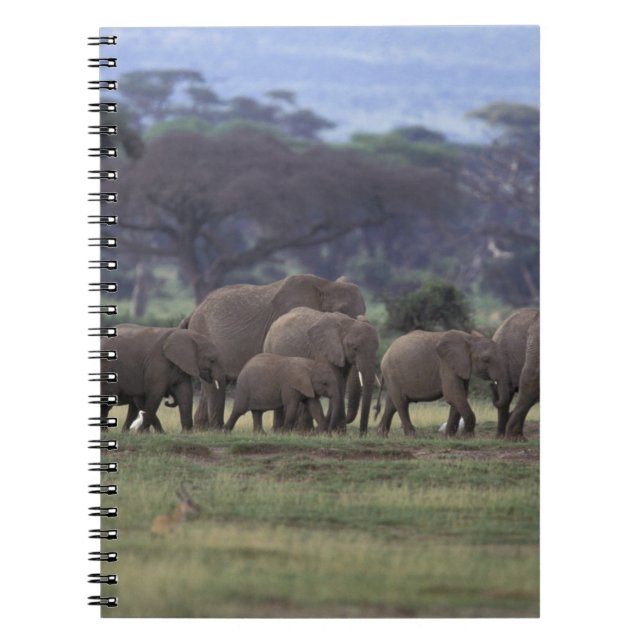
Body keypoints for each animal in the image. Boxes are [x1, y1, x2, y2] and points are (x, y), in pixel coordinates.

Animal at [181, 274, 366, 429]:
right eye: (341, 312)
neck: (326, 285)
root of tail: (194, 311)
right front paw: (300, 430)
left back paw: (202, 428)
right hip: (203, 333)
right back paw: (215, 428)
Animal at [376, 329, 510, 437]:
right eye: (486, 360)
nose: (492, 385)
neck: (470, 338)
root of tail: (386, 353)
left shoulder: (460, 367)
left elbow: (459, 397)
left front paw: (450, 437)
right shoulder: (446, 365)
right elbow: (453, 395)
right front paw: (467, 437)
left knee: (391, 405)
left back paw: (381, 435)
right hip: (392, 372)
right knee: (401, 403)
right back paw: (412, 436)